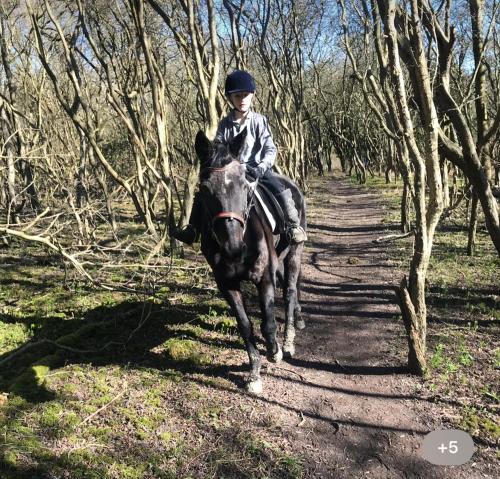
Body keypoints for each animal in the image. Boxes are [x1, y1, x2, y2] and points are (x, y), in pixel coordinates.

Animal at [193, 129, 306, 396]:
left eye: (245, 185)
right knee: (292, 289)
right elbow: (245, 326)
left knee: (290, 291)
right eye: (204, 189)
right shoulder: (226, 284)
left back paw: (288, 341)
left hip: (294, 253)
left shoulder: (264, 277)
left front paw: (275, 351)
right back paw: (297, 319)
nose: (233, 248)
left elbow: (268, 323)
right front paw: (254, 373)